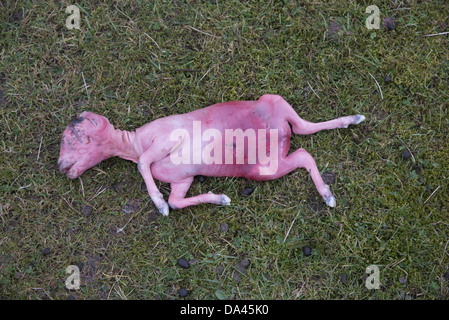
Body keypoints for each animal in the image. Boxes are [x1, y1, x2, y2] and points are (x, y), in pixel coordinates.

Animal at [58, 94, 364, 215]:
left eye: (71, 138)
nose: (60, 165)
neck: (133, 144)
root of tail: (280, 135)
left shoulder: (166, 138)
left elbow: (144, 164)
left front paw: (158, 203)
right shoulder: (182, 179)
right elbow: (177, 201)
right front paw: (219, 199)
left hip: (273, 113)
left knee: (303, 149)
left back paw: (327, 194)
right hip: (269, 160)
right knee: (304, 139)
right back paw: (351, 120)